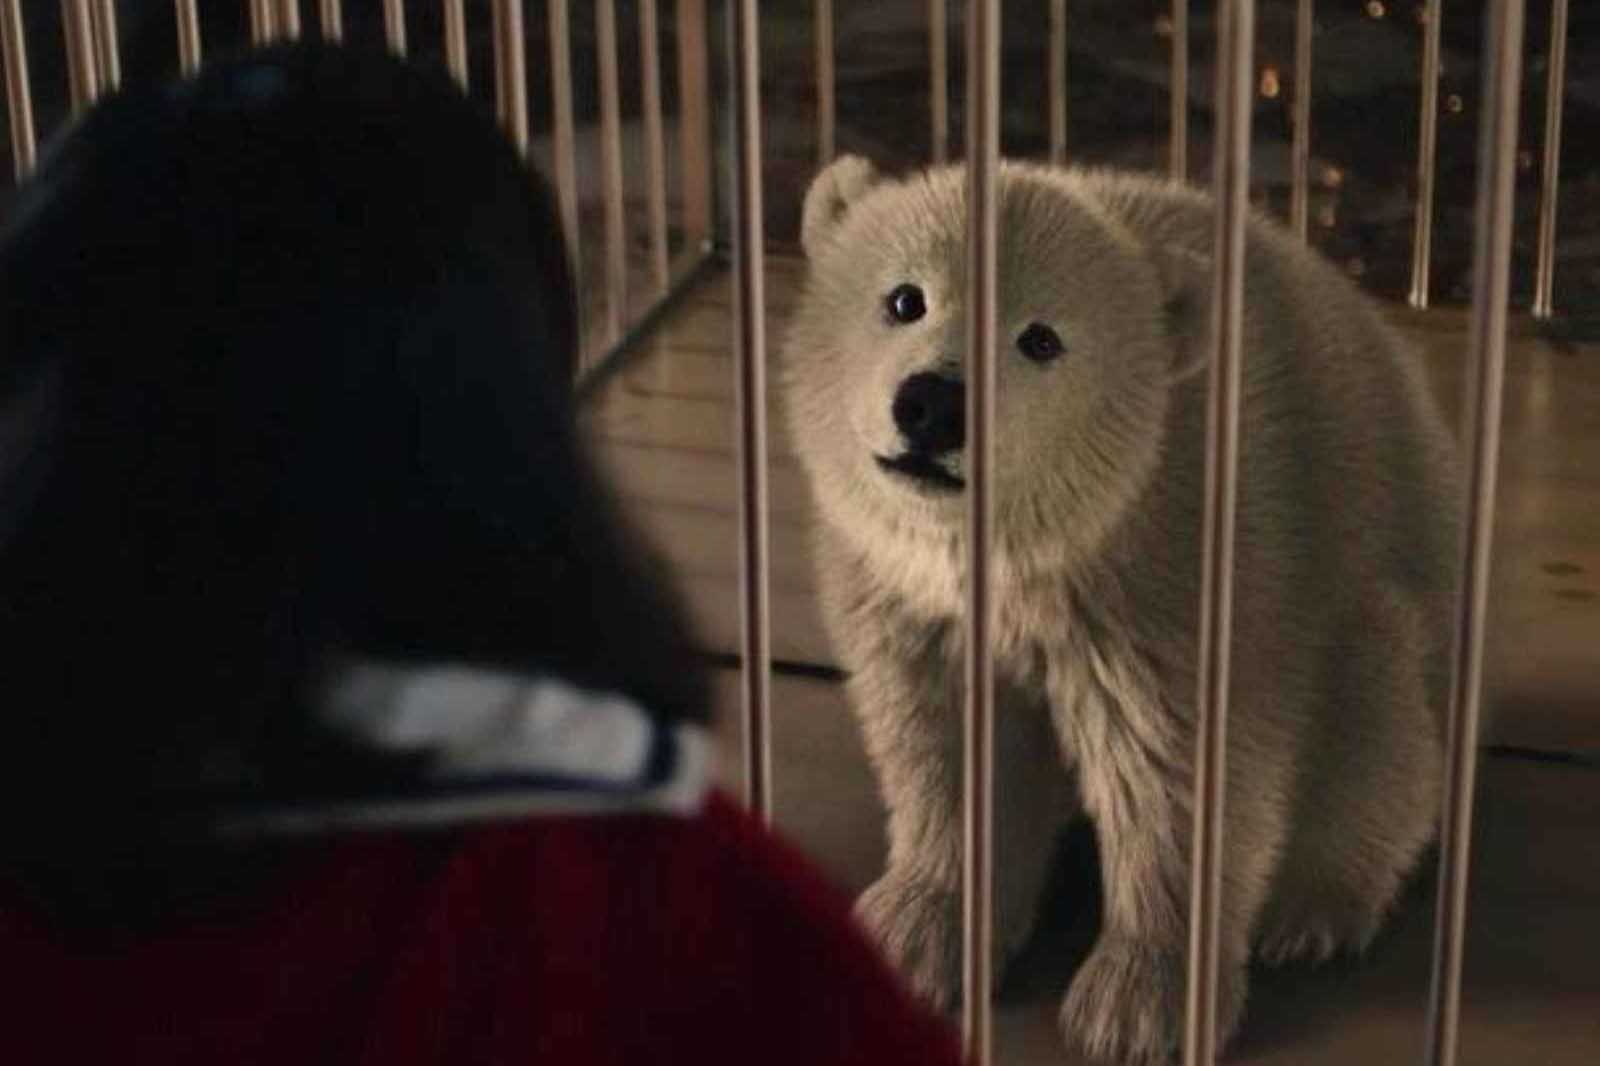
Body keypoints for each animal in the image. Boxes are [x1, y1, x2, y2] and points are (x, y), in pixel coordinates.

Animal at [779, 155, 1462, 1064]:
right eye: (904, 298)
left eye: (1041, 338)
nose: (934, 403)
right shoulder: (914, 607)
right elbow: (946, 746)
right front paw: (917, 934)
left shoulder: (1181, 585)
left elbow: (1178, 771)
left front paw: (1139, 1003)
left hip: (1378, 618)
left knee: (1381, 737)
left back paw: (1311, 912)